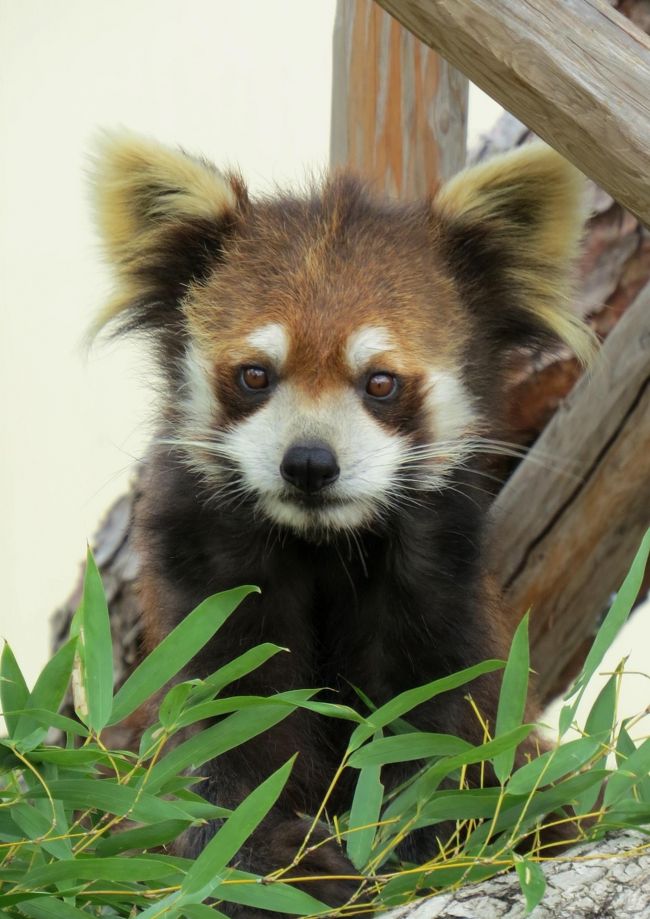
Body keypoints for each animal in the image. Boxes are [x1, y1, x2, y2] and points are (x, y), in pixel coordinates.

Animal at [90, 133, 592, 916]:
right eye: (256, 375)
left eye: (380, 382)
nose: (308, 462)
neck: (323, 544)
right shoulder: (209, 591)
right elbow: (222, 735)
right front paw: (269, 857)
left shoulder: (438, 595)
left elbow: (440, 728)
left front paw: (429, 829)